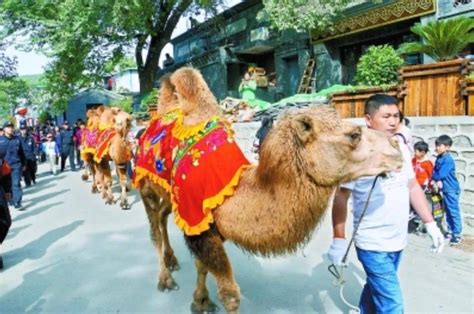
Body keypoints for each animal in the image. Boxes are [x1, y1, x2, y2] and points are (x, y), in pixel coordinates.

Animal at [134, 67, 404, 312]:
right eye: (354, 134)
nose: (396, 145)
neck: (231, 192)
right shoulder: (197, 219)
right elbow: (230, 295)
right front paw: (205, 300)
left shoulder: (204, 226)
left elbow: (202, 265)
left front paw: (201, 301)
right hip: (145, 186)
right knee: (154, 229)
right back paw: (165, 279)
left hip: (169, 197)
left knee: (163, 215)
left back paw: (172, 260)